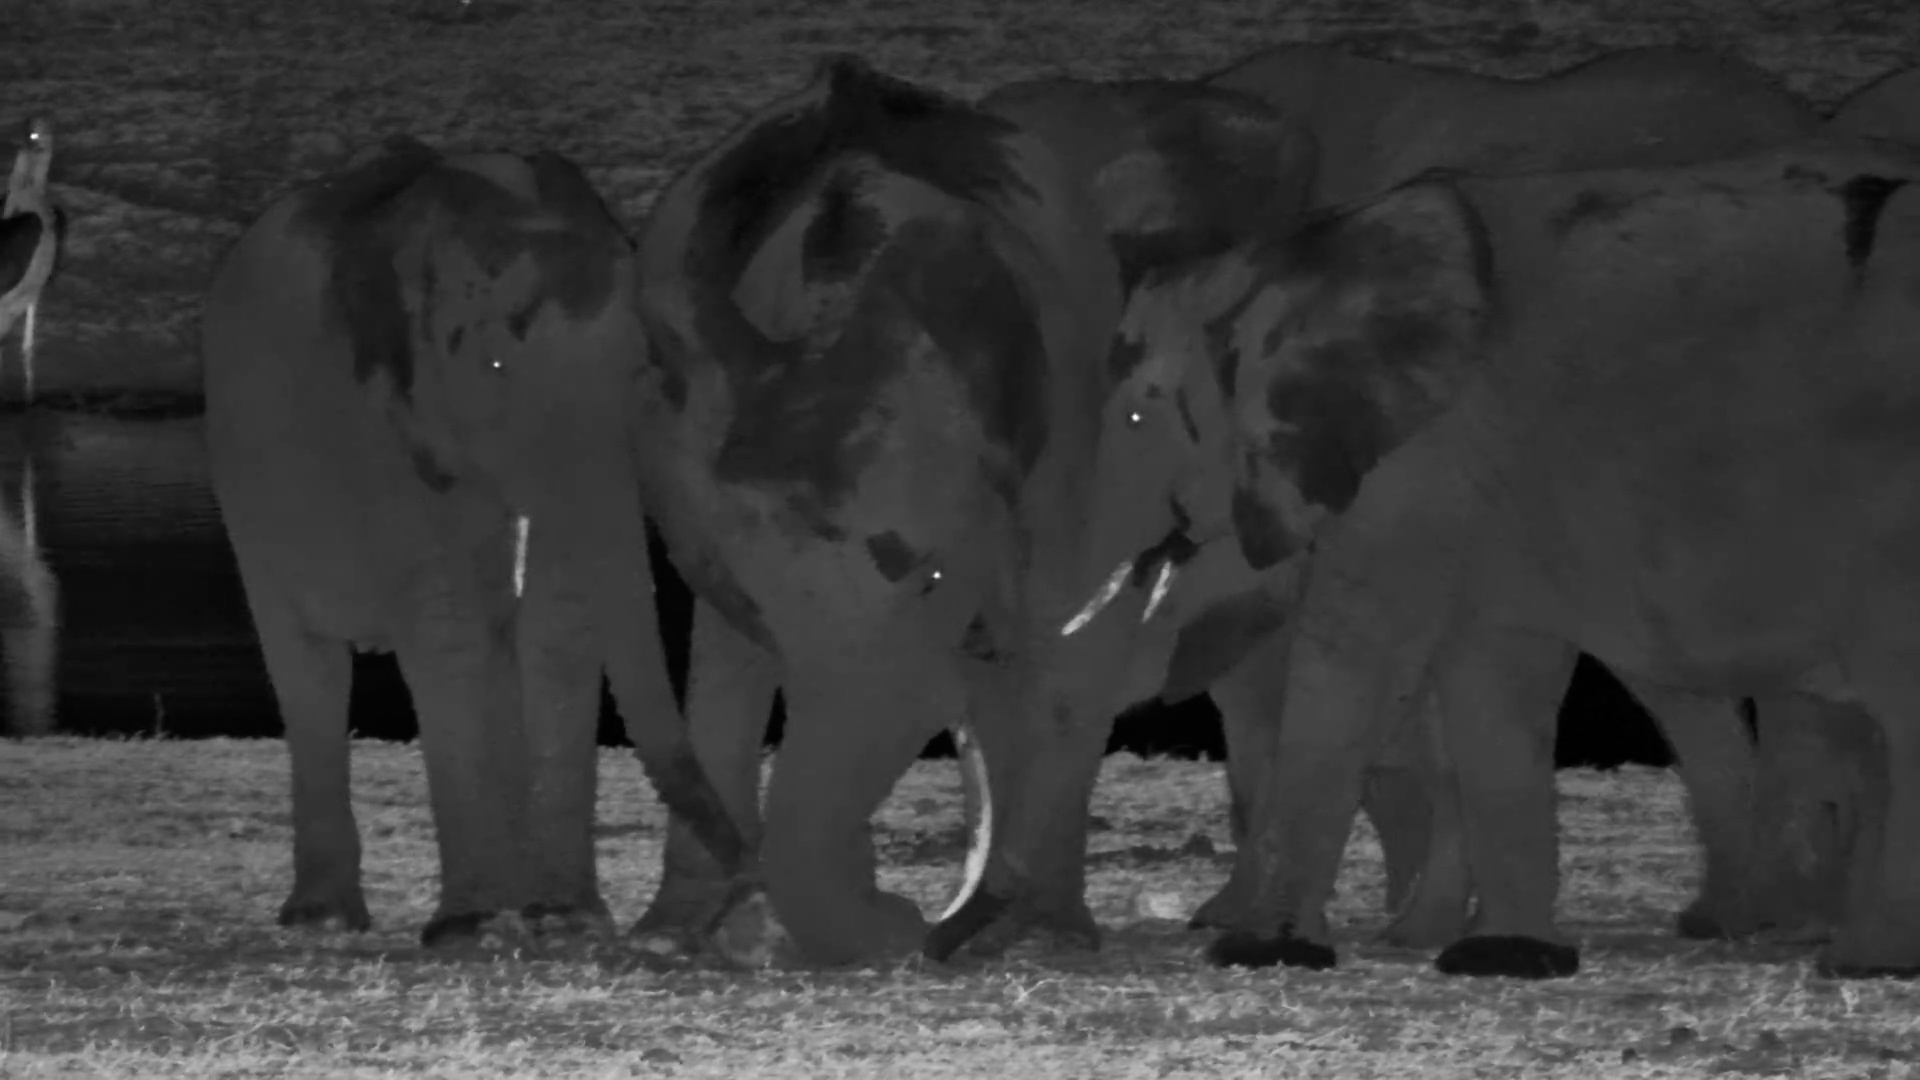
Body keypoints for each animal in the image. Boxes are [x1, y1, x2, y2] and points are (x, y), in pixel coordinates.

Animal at [202, 136, 751, 945]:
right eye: (494, 368)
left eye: (653, 368)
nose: (748, 876)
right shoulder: (376, 420)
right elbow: (445, 626)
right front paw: (466, 927)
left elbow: (555, 625)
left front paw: (565, 918)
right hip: (246, 485)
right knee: (310, 669)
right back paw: (325, 918)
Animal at [627, 56, 1184, 967]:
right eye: (753, 594)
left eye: (932, 579)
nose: (905, 921)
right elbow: (732, 658)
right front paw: (683, 934)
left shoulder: (1062, 432)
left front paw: (1006, 927)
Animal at [1084, 133, 1920, 977]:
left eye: (1134, 417)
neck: (1288, 259)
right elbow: (1491, 669)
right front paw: (1505, 957)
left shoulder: (1421, 459)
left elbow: (1357, 653)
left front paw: (1261, 950)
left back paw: (1860, 958)